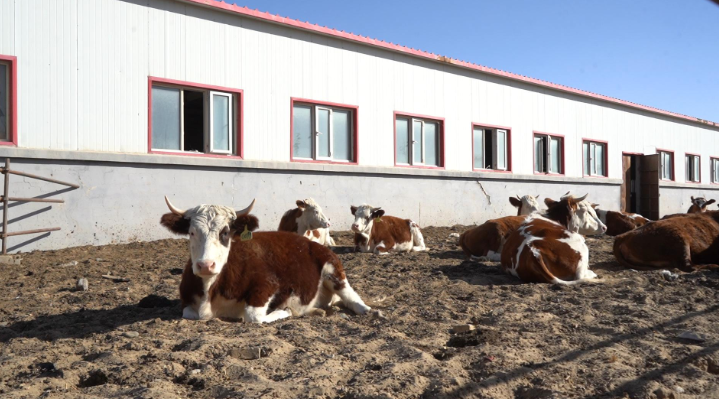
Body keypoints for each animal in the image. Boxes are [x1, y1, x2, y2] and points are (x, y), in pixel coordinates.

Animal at [162, 198, 372, 324]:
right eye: (191, 232)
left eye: (225, 232)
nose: (206, 265)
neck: (210, 289)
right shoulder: (187, 302)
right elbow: (189, 313)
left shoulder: (268, 285)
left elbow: (254, 316)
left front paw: (285, 311)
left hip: (334, 271)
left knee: (353, 298)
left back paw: (368, 310)